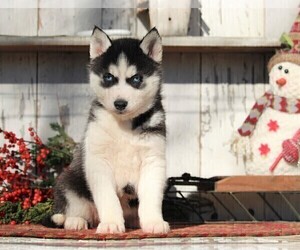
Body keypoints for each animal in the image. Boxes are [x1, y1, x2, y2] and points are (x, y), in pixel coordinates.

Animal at [49, 27, 169, 234]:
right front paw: (112, 223)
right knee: (74, 209)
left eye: (136, 78)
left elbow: (151, 197)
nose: (120, 103)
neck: (124, 126)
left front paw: (153, 222)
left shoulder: (153, 160)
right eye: (108, 77)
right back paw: (75, 221)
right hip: (69, 183)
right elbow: (108, 198)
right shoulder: (98, 162)